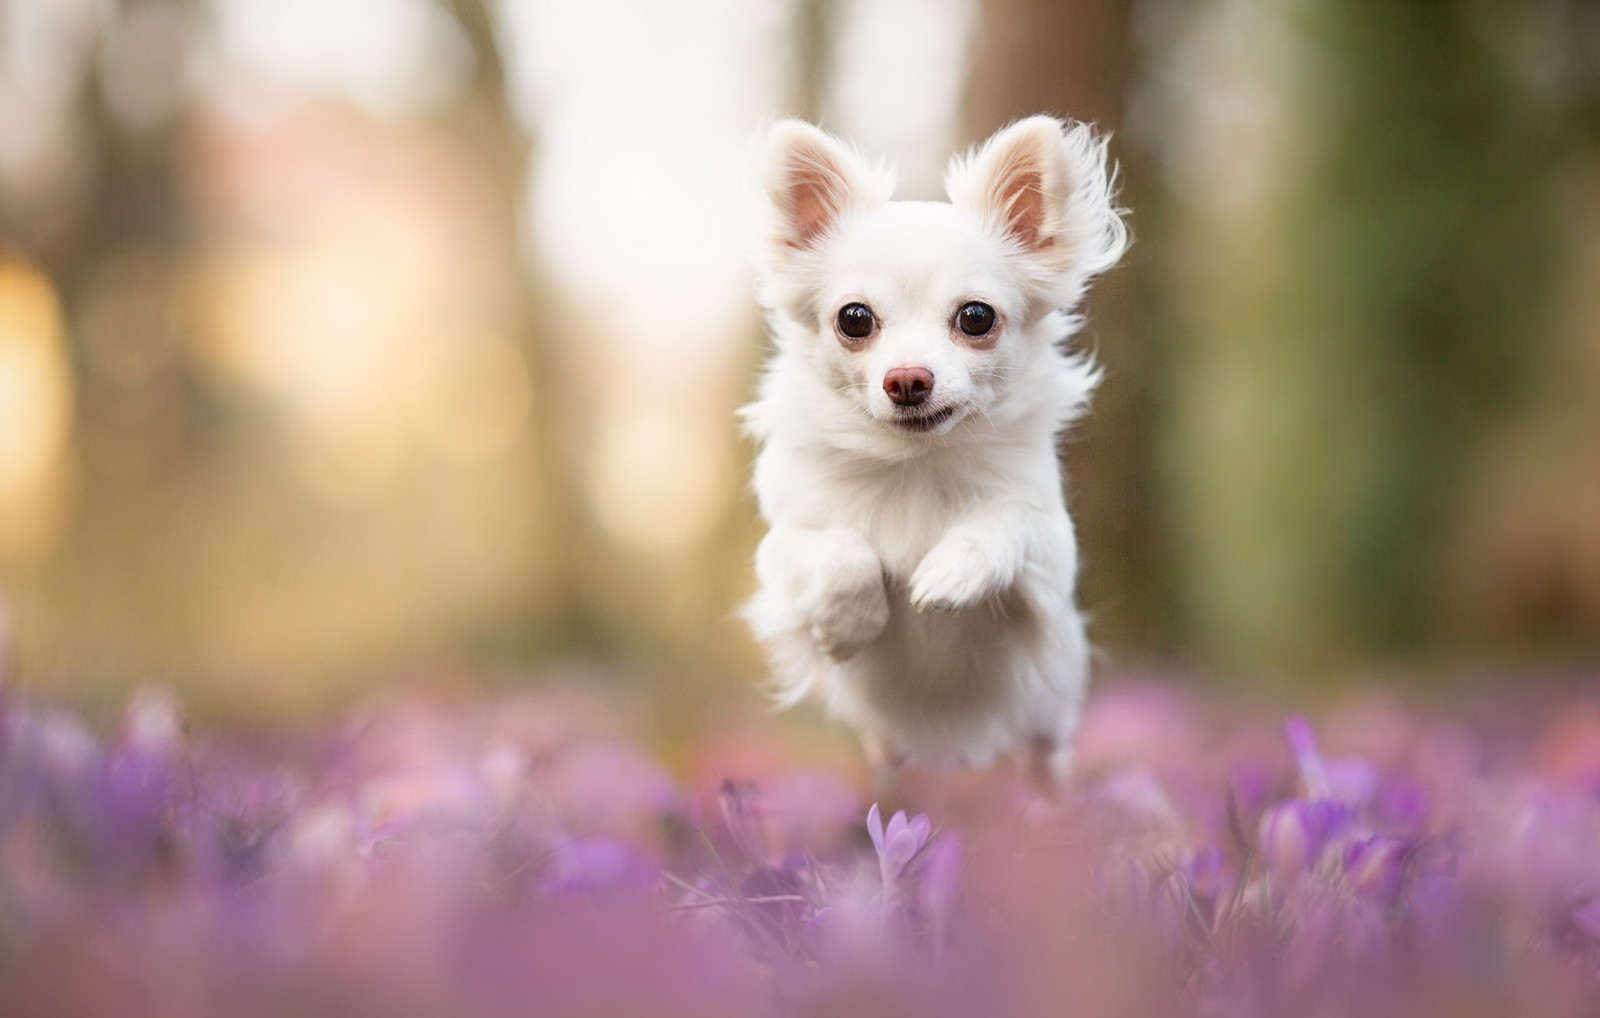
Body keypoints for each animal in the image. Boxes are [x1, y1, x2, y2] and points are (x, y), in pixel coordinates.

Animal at [739, 117, 1126, 787]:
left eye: (975, 317)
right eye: (854, 318)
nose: (907, 379)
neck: (917, 465)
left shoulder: (1052, 560)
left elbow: (1010, 523)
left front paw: (953, 572)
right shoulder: (783, 549)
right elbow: (843, 553)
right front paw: (848, 627)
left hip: (1049, 721)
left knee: (1046, 765)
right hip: (882, 746)